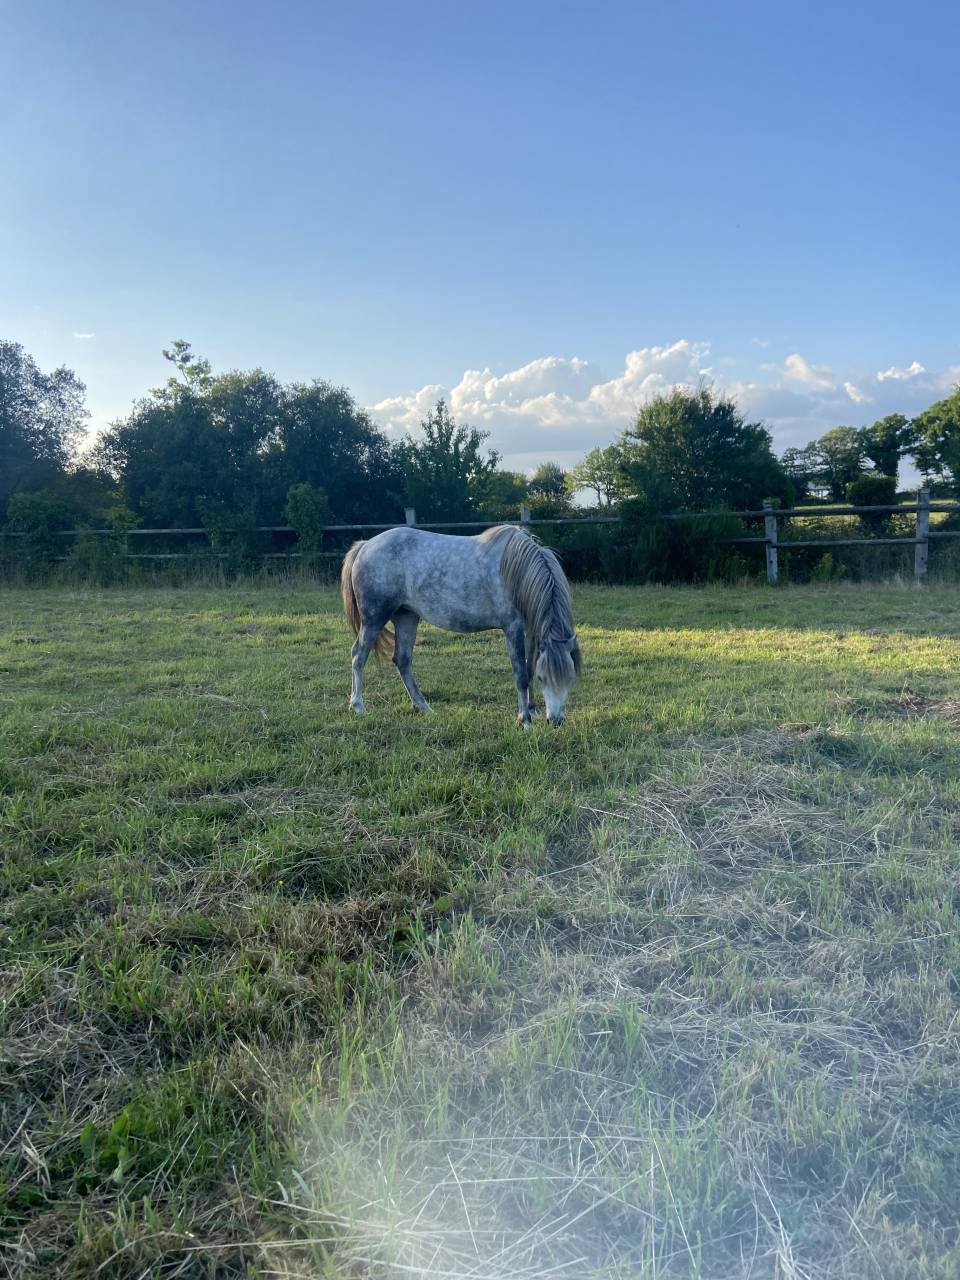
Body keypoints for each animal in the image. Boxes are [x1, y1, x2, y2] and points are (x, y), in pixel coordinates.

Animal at [340, 525, 581, 726]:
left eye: (570, 678)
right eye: (544, 678)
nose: (556, 721)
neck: (517, 572)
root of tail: (365, 546)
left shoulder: (530, 631)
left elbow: (529, 668)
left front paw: (532, 710)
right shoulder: (512, 628)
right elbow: (521, 674)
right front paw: (525, 720)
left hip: (406, 616)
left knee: (402, 660)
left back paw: (424, 707)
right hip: (374, 618)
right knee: (358, 656)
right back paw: (358, 707)